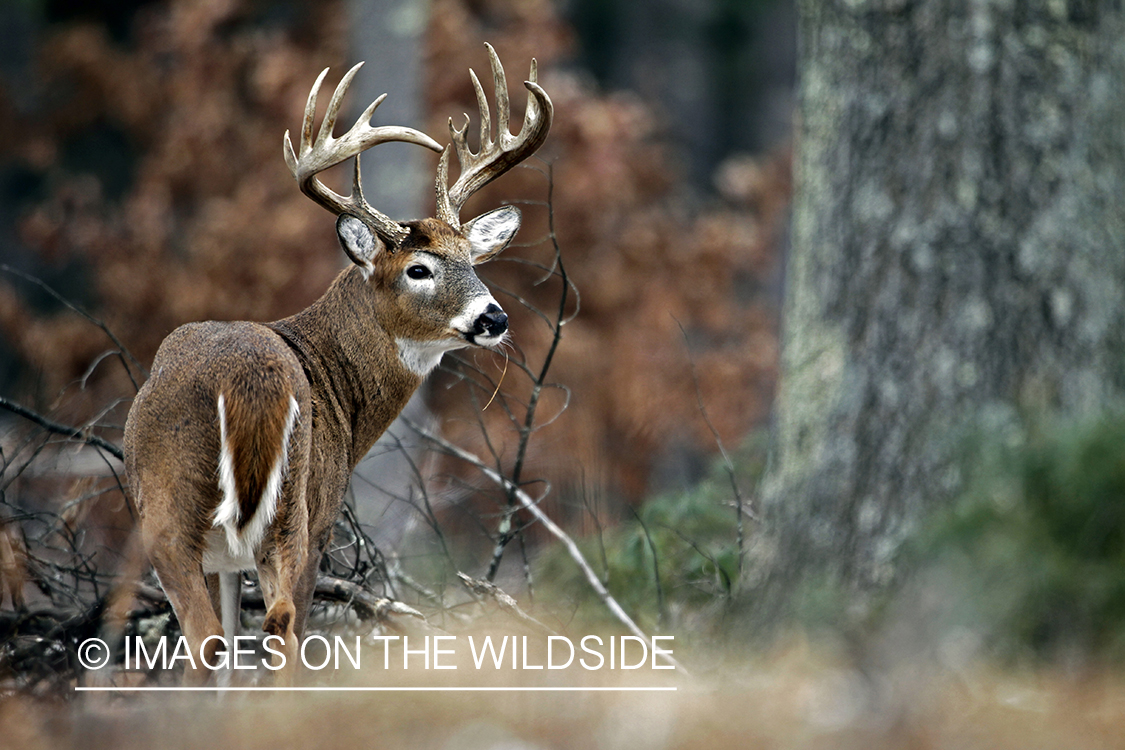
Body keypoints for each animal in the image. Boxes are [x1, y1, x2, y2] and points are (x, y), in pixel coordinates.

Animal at [123, 44, 553, 683]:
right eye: (418, 268)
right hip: (281, 511)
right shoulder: (319, 517)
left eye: (471, 261)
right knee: (271, 628)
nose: (494, 318)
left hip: (182, 514)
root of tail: (243, 381)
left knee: (219, 640)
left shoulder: (239, 553)